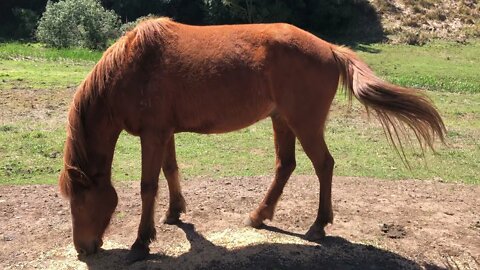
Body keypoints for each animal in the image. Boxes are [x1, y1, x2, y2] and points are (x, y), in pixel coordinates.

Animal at [58, 16, 444, 262]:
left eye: (80, 200)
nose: (83, 248)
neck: (133, 68)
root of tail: (329, 48)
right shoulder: (164, 133)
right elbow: (171, 172)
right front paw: (174, 213)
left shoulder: (152, 135)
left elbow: (148, 186)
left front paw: (141, 243)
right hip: (282, 121)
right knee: (286, 165)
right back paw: (260, 215)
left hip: (304, 123)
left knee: (323, 165)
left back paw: (318, 225)